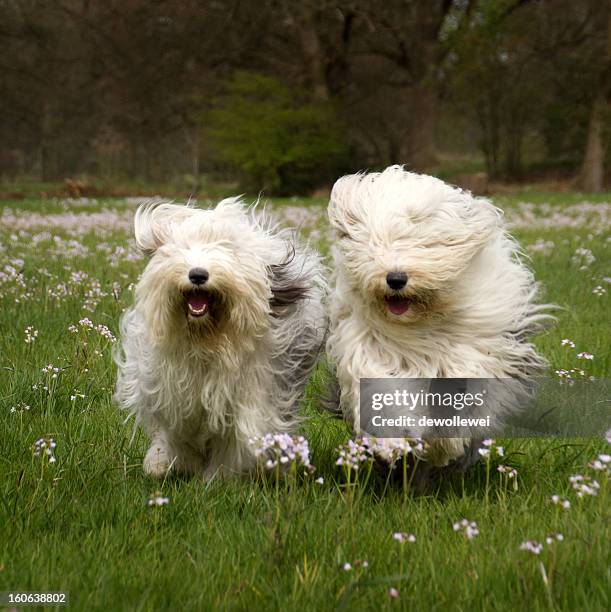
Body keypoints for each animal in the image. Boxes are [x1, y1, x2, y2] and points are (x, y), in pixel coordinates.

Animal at [113, 200, 326, 478]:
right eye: (182, 248)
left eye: (228, 250)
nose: (198, 275)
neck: (207, 341)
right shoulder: (169, 391)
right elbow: (176, 434)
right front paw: (164, 462)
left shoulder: (250, 399)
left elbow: (233, 444)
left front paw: (218, 478)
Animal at [328, 167, 552, 468]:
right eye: (376, 245)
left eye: (424, 245)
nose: (395, 279)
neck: (422, 322)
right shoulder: (368, 347)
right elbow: (380, 387)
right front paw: (393, 441)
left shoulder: (474, 346)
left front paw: (444, 443)